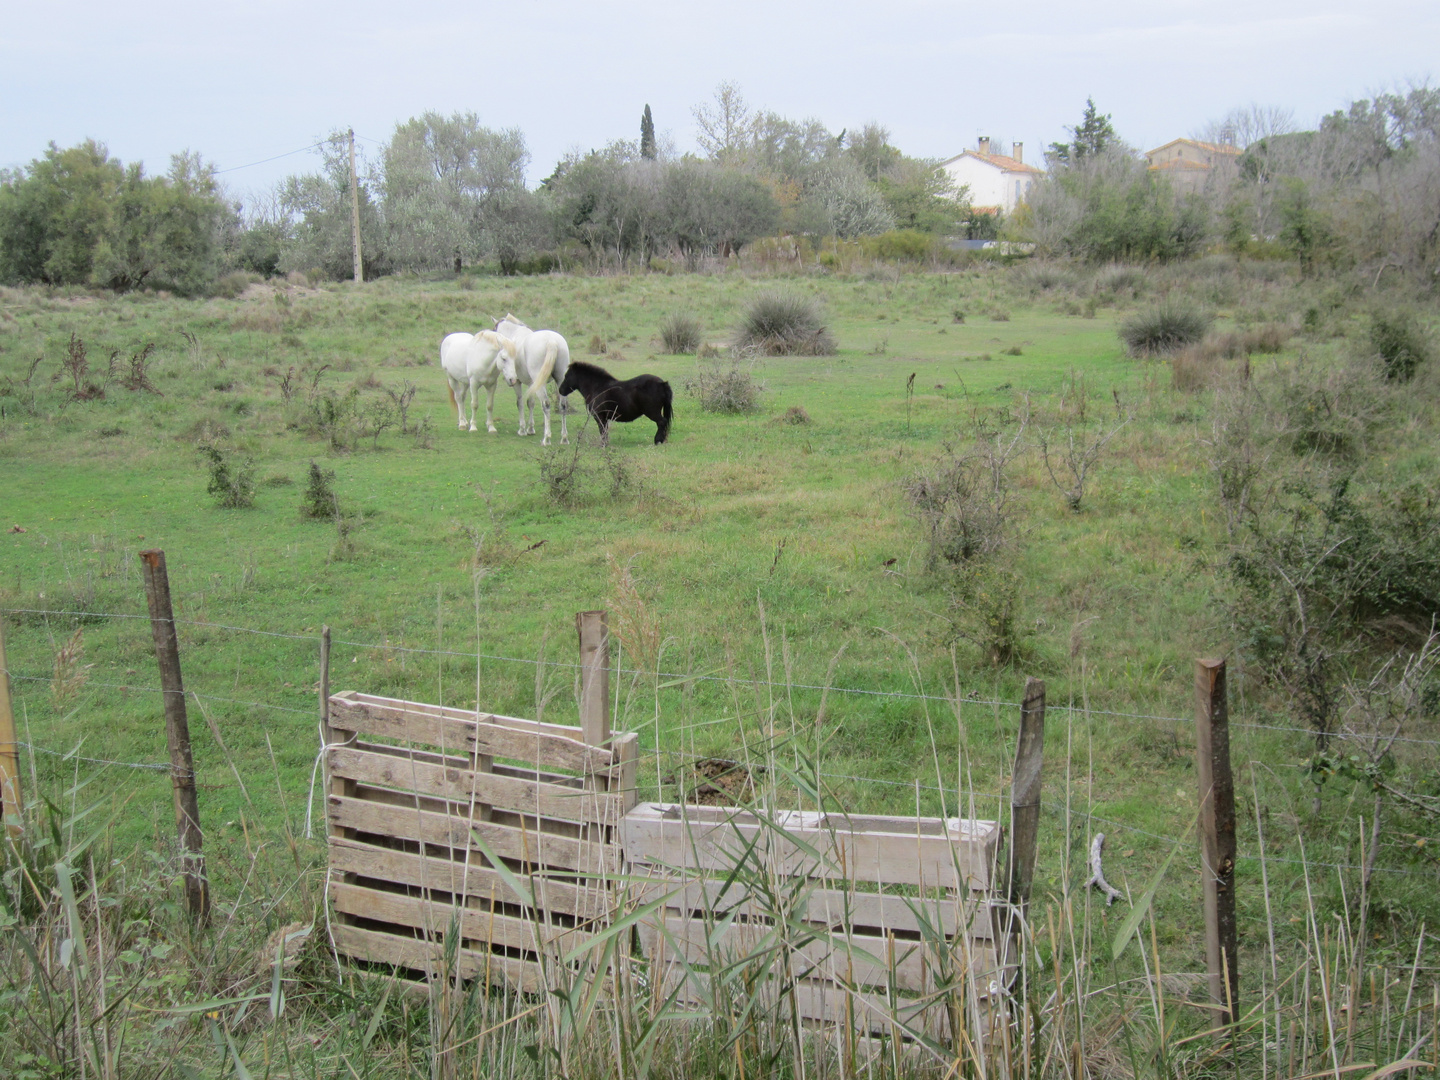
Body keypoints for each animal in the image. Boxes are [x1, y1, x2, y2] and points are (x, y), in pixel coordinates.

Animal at [489, 312, 567, 449]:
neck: (514, 333)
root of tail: (552, 341)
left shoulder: (517, 382)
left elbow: (519, 403)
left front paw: (522, 429)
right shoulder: (532, 384)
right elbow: (530, 403)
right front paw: (531, 429)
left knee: (546, 404)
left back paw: (546, 438)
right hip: (560, 380)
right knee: (562, 405)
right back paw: (564, 438)